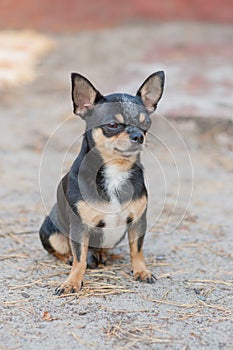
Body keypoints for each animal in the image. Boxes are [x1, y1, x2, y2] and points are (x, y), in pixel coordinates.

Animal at [39, 72, 165, 296]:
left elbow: (137, 250)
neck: (116, 170)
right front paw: (72, 282)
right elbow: (80, 258)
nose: (138, 136)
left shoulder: (138, 222)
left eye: (146, 124)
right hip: (50, 231)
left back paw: (106, 255)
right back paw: (70, 257)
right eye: (112, 125)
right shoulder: (79, 227)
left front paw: (141, 271)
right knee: (62, 251)